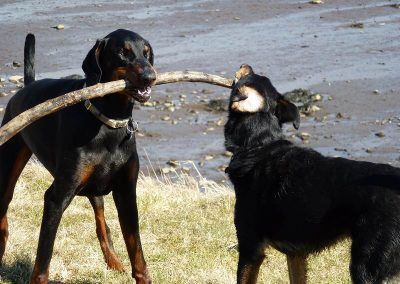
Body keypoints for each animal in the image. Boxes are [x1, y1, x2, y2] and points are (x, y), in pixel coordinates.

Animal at [0, 29, 156, 284]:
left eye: (146, 52)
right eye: (122, 52)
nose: (150, 76)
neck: (108, 122)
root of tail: (26, 88)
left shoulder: (126, 191)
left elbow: (137, 250)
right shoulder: (56, 197)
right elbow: (43, 257)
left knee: (102, 222)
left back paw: (113, 261)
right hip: (9, 168)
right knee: (3, 210)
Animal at [225, 64, 400, 284]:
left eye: (246, 76)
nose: (246, 65)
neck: (258, 145)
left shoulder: (250, 249)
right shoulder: (295, 254)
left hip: (366, 266)